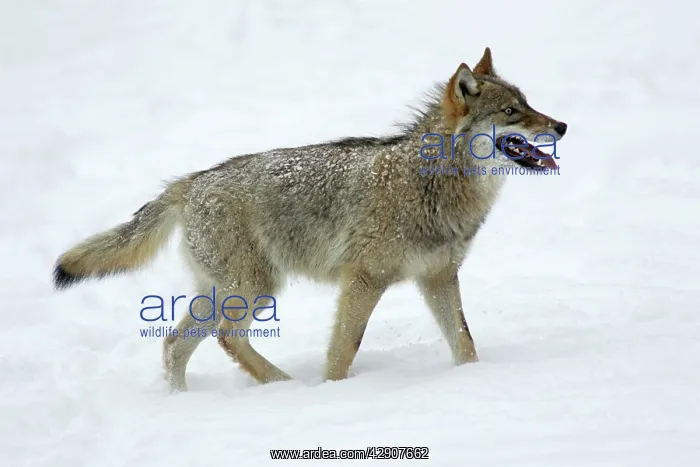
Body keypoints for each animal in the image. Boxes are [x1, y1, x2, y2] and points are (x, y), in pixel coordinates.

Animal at [53, 48, 567, 391]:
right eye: (512, 112)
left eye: (530, 104)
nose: (561, 126)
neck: (433, 184)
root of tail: (190, 182)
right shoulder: (364, 279)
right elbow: (344, 349)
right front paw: (333, 393)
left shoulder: (439, 277)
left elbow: (465, 343)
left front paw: (475, 383)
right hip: (256, 289)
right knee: (222, 338)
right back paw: (282, 385)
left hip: (229, 291)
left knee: (174, 345)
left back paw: (188, 399)